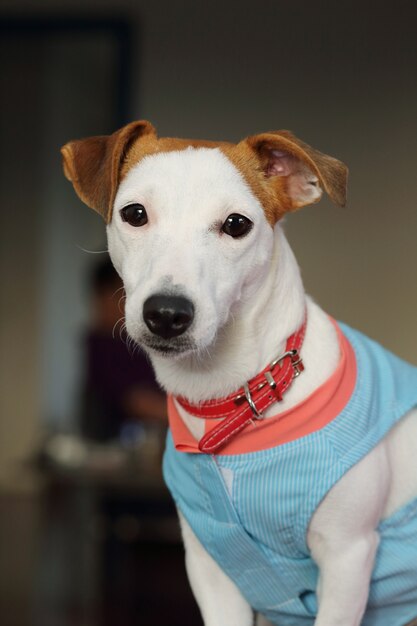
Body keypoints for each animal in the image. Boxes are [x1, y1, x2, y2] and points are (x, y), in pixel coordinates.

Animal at [61, 119, 416, 620]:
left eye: (236, 224)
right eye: (134, 213)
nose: (167, 314)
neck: (236, 398)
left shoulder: (347, 560)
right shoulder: (212, 567)